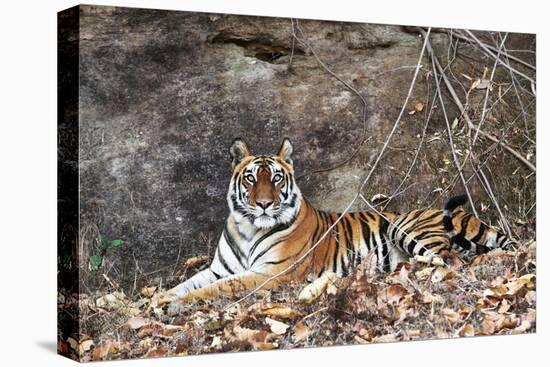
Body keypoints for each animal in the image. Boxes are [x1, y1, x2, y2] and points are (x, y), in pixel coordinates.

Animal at [166, 138, 516, 302]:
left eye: (276, 178)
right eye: (251, 178)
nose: (264, 204)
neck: (248, 228)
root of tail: (466, 215)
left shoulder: (270, 273)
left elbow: (218, 288)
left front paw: (178, 304)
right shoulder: (218, 269)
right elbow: (187, 283)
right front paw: (163, 298)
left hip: (407, 229)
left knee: (451, 260)